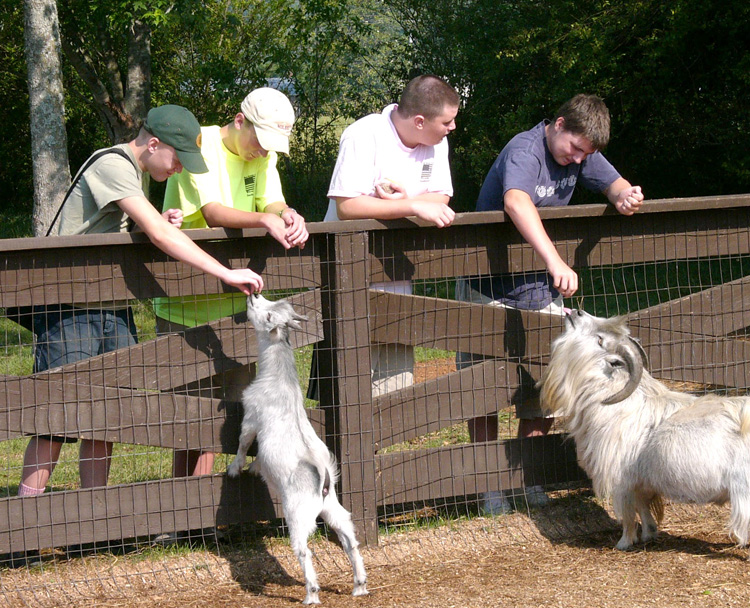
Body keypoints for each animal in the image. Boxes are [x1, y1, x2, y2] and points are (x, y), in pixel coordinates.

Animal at [229, 294, 370, 604]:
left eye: (268, 315)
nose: (253, 295)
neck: (279, 377)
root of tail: (323, 478)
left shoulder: (251, 416)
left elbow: (243, 442)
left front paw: (235, 469)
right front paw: (255, 468)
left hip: (298, 514)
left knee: (304, 549)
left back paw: (311, 594)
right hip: (333, 507)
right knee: (349, 538)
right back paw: (359, 585)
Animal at [544, 312, 750, 552]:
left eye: (600, 339)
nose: (576, 313)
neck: (616, 403)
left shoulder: (621, 481)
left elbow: (627, 514)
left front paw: (623, 543)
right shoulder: (641, 481)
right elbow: (642, 506)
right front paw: (648, 534)